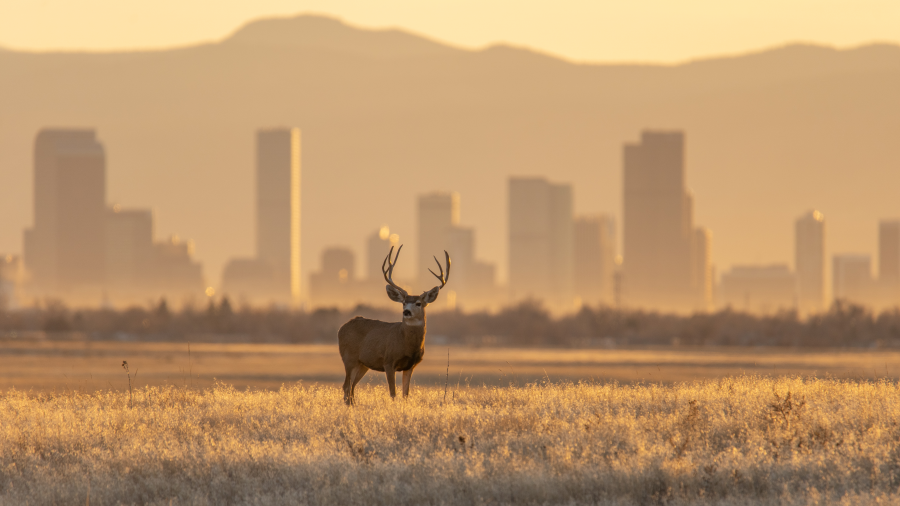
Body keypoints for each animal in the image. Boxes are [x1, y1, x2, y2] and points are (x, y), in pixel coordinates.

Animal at [338, 243, 450, 406]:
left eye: (418, 303)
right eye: (403, 302)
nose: (406, 312)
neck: (406, 344)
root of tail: (341, 328)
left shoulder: (410, 365)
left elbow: (405, 394)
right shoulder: (389, 361)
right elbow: (393, 393)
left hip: (363, 363)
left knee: (352, 386)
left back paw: (353, 405)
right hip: (349, 357)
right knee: (346, 386)